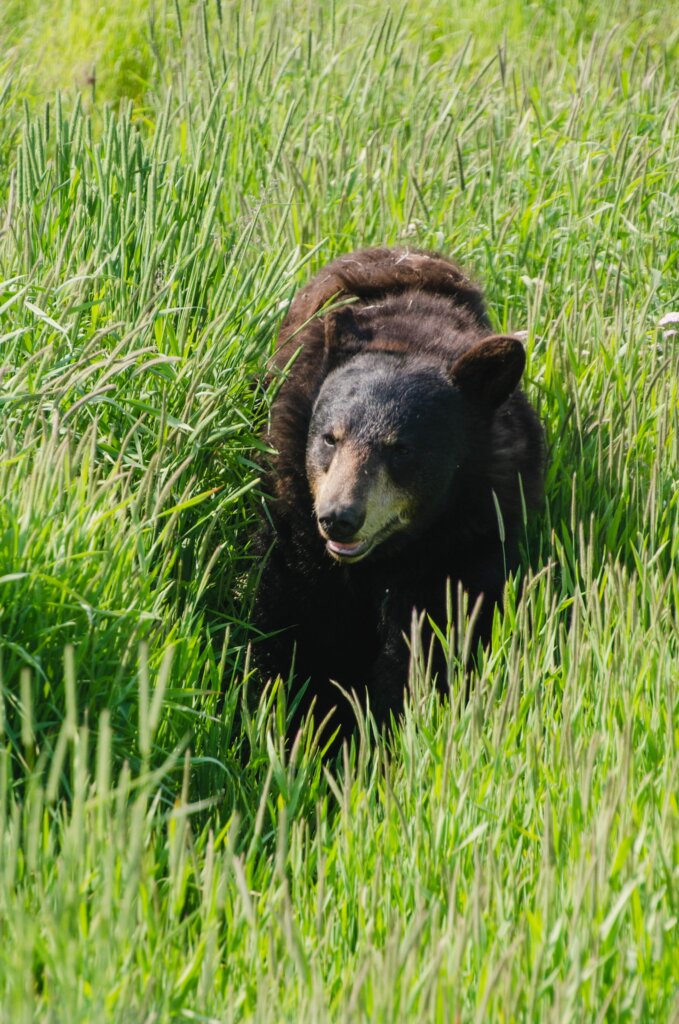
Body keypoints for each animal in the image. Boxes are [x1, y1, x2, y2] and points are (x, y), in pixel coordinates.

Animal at [251, 247, 544, 745]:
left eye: (401, 449)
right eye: (330, 438)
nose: (339, 516)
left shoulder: (464, 540)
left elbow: (430, 639)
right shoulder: (296, 527)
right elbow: (297, 623)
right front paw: (301, 729)